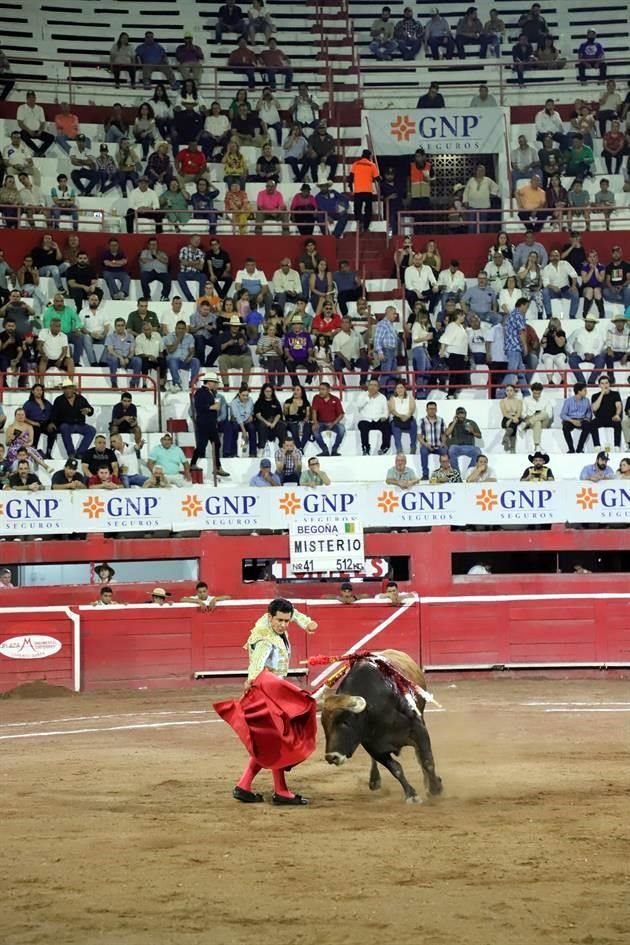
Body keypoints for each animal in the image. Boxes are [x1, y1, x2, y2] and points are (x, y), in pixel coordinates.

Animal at [320, 652, 444, 800]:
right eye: (324, 726)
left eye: (345, 722)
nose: (331, 757)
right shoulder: (374, 748)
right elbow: (396, 769)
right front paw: (411, 795)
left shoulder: (418, 730)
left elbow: (426, 760)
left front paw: (435, 788)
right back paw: (374, 781)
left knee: (421, 756)